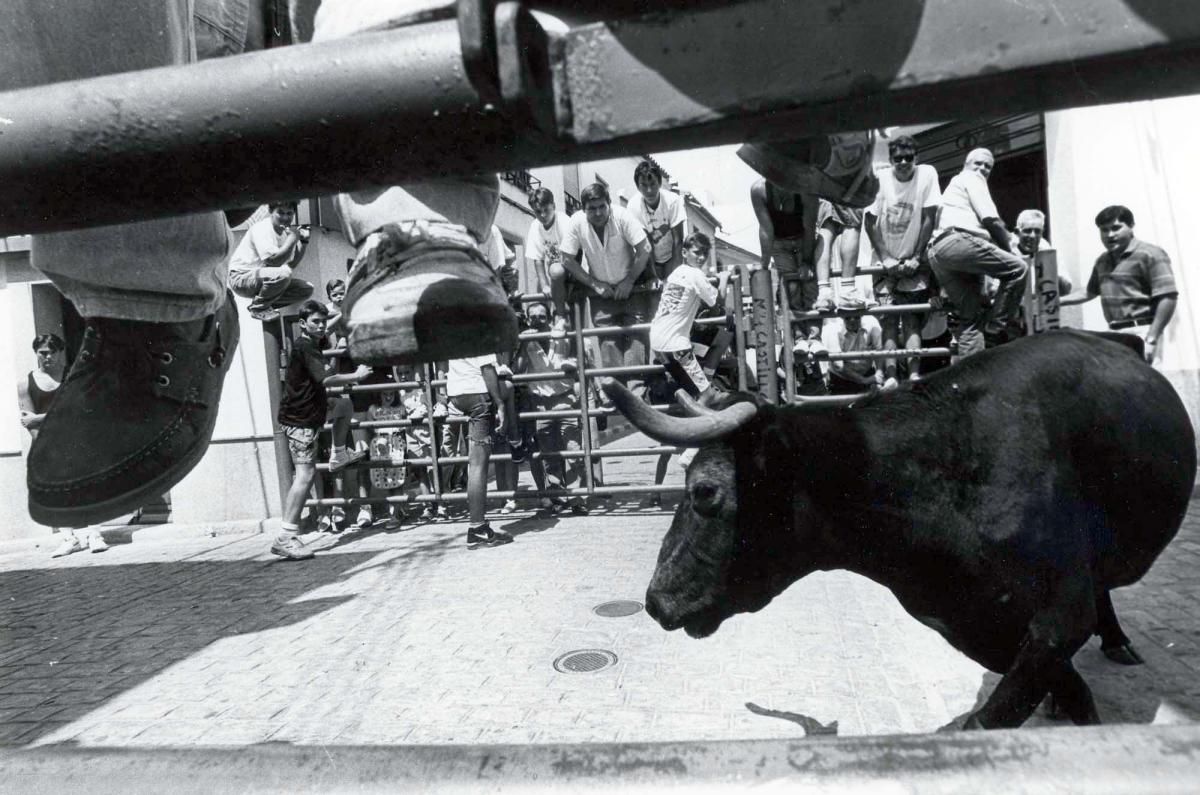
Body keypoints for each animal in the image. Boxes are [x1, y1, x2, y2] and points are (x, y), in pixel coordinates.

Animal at [604, 331, 1195, 734]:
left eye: (705, 492)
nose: (655, 600)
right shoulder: (966, 624)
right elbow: (1054, 682)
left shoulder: (1060, 611)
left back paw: (1117, 641)